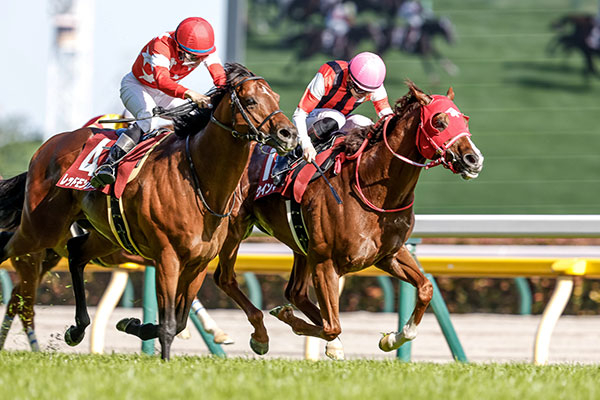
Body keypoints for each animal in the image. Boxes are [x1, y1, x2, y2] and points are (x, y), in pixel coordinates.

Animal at [0, 63, 298, 360]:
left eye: (276, 98)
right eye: (250, 100)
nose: (289, 134)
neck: (198, 179)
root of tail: (47, 146)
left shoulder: (199, 262)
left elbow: (179, 321)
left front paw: (133, 324)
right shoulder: (166, 257)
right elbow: (168, 323)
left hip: (103, 237)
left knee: (72, 255)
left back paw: (77, 329)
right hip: (41, 229)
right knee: (11, 263)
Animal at [213, 81, 486, 356]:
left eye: (464, 119)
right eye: (438, 122)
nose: (474, 159)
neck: (372, 187)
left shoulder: (389, 254)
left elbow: (426, 289)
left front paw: (392, 338)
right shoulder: (325, 262)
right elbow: (332, 326)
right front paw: (290, 319)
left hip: (302, 246)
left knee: (296, 293)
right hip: (235, 229)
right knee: (225, 278)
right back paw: (260, 335)